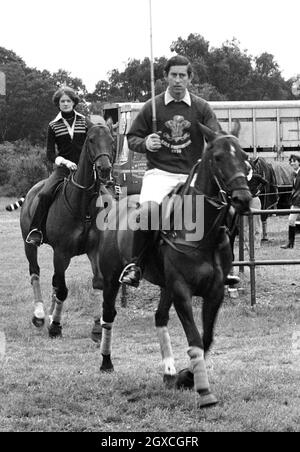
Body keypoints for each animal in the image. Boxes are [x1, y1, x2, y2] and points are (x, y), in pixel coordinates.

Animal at [19, 122, 114, 338]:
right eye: (91, 140)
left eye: (112, 140)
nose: (104, 168)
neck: (83, 205)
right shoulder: (61, 252)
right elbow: (62, 289)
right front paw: (55, 326)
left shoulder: (94, 250)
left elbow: (97, 283)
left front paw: (97, 327)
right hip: (30, 245)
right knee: (35, 272)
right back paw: (40, 315)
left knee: (54, 280)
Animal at [95, 122, 251, 408]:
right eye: (218, 157)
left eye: (245, 157)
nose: (242, 199)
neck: (202, 234)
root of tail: (116, 204)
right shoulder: (182, 291)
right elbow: (195, 338)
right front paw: (204, 391)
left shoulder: (214, 292)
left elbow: (207, 338)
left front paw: (186, 376)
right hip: (112, 279)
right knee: (108, 315)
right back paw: (106, 363)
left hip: (165, 285)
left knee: (159, 317)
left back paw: (169, 372)